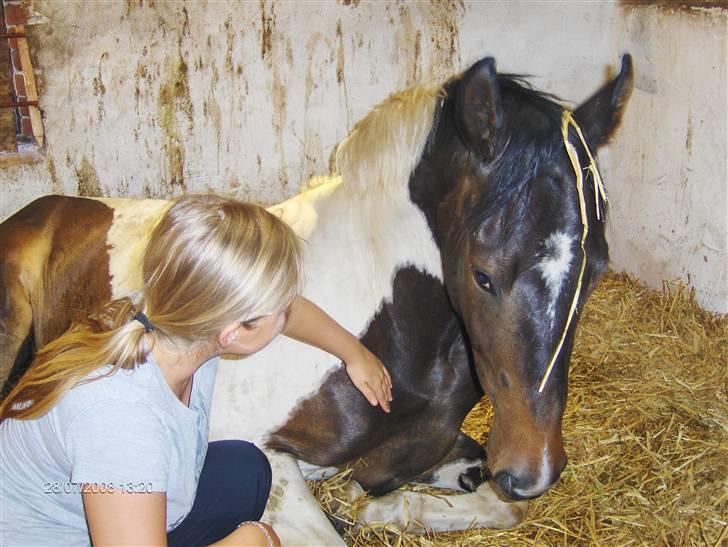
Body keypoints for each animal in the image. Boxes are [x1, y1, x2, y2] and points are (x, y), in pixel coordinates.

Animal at [0, 55, 632, 544]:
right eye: (482, 275)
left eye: (597, 269)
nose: (533, 469)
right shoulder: (262, 456)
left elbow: (492, 505)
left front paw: (382, 507)